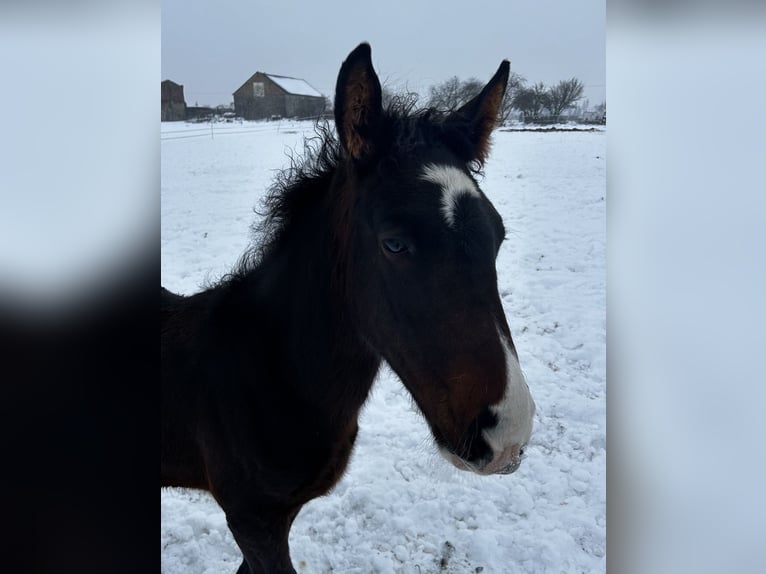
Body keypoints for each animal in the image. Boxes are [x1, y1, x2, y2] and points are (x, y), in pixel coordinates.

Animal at [161, 43, 535, 574]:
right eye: (394, 243)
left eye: (498, 235)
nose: (506, 436)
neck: (269, 374)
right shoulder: (251, 519)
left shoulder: (275, 518)